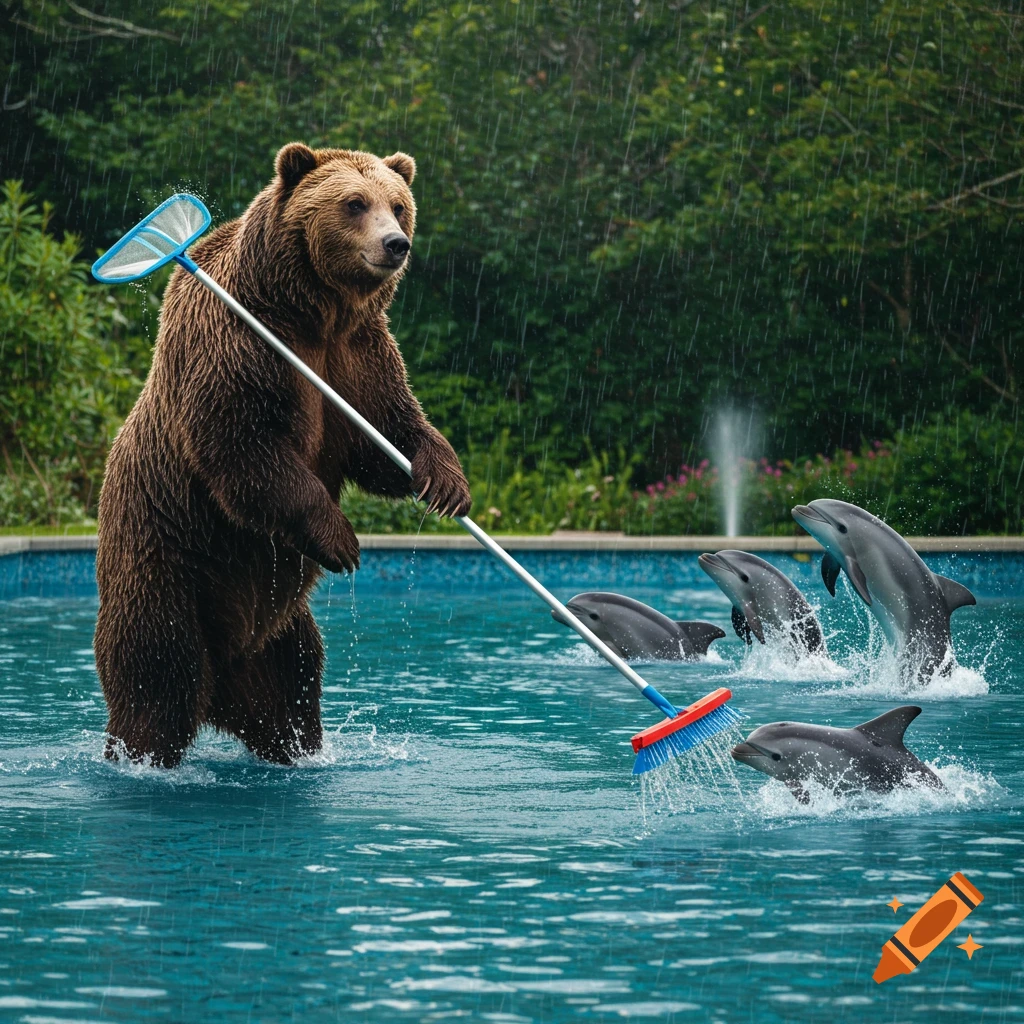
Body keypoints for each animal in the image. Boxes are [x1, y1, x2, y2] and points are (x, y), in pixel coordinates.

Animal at [93, 143, 471, 768]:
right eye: (354, 203)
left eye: (399, 204)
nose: (396, 244)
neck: (312, 310)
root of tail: (223, 677)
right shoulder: (238, 346)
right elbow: (243, 446)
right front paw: (342, 540)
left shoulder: (358, 353)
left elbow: (387, 428)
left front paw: (444, 482)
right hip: (166, 560)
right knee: (157, 676)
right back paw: (141, 757)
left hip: (277, 623)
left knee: (292, 684)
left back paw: (297, 750)